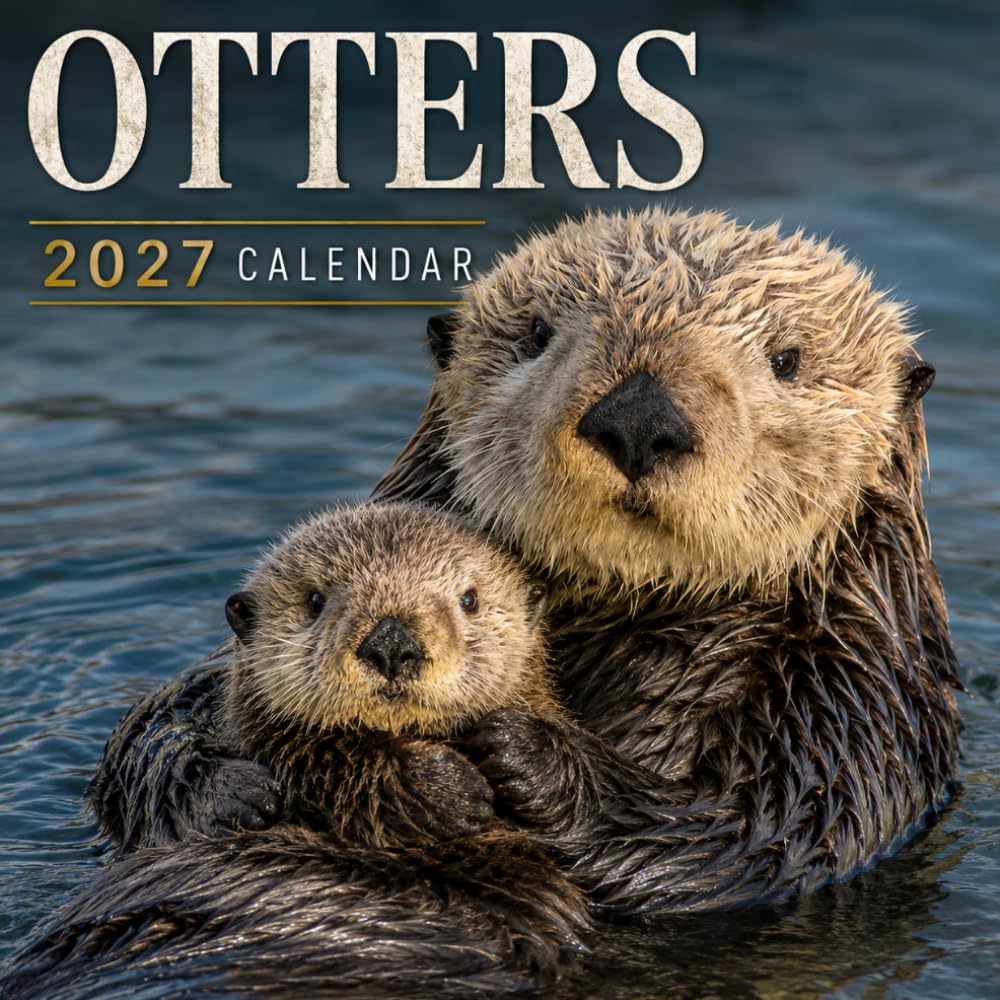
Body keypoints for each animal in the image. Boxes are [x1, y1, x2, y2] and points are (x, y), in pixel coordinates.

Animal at [1, 504, 587, 997]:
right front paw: (447, 790)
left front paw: (517, 752)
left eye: (470, 599)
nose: (392, 642)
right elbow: (326, 754)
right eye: (314, 600)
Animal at [91, 208, 961, 914]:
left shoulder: (852, 717)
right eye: (537, 335)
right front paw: (223, 790)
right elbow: (159, 725)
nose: (637, 417)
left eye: (788, 360)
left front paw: (528, 757)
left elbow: (757, 834)